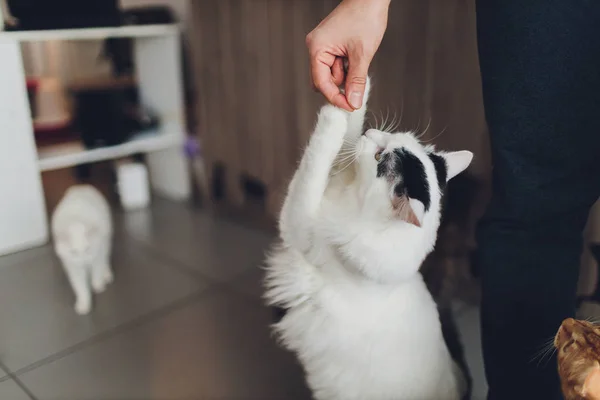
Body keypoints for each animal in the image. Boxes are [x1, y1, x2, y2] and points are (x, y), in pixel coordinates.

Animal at [51, 185, 113, 316]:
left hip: (106, 241)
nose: (83, 263)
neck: (76, 221)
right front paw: (84, 304)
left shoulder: (97, 251)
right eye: (73, 252)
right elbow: (80, 286)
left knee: (105, 259)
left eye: (87, 249)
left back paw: (106, 274)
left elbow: (97, 269)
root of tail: (80, 187)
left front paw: (97, 284)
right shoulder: (72, 265)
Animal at [262, 79, 474, 400]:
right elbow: (347, 132)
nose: (372, 133)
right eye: (396, 137)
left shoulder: (298, 223)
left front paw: (334, 113)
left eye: (379, 158)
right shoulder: (336, 177)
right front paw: (352, 90)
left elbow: (317, 156)